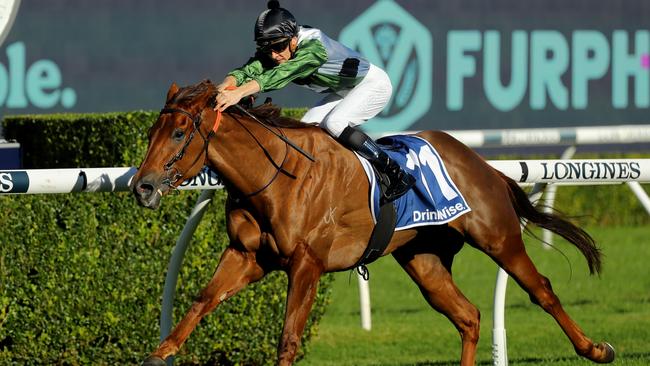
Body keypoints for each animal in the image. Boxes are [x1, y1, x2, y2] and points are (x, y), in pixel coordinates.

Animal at [133, 80, 612, 366]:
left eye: (179, 133)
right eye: (152, 132)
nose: (142, 186)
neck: (277, 175)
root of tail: (480, 163)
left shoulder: (307, 264)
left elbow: (288, 336)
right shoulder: (247, 255)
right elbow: (202, 300)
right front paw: (161, 352)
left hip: (497, 237)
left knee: (541, 290)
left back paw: (595, 348)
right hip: (424, 259)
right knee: (469, 316)